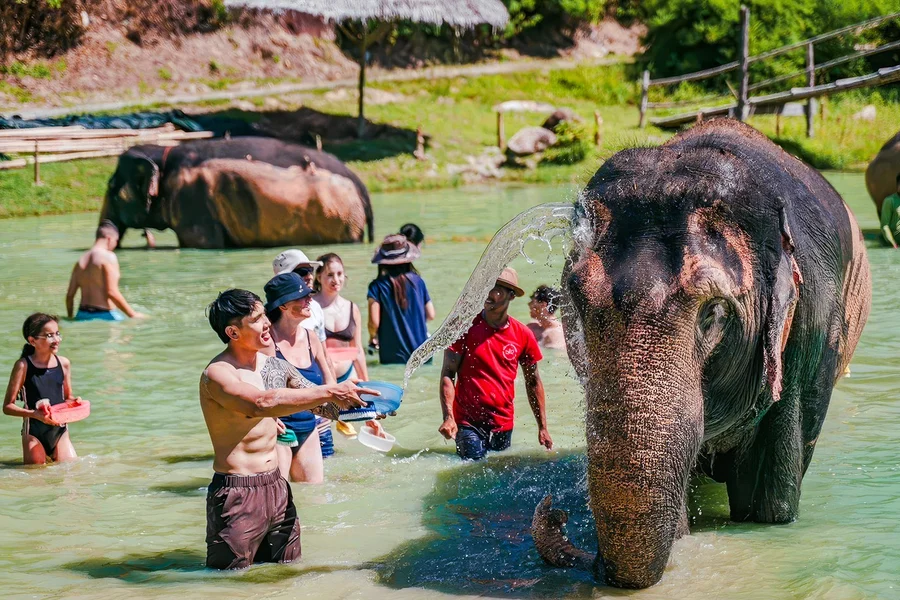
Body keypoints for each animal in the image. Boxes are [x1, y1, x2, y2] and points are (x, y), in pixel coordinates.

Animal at [101, 137, 374, 248]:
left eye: (112, 188)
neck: (163, 152)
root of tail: (362, 187)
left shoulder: (193, 204)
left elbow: (201, 242)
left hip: (342, 219)